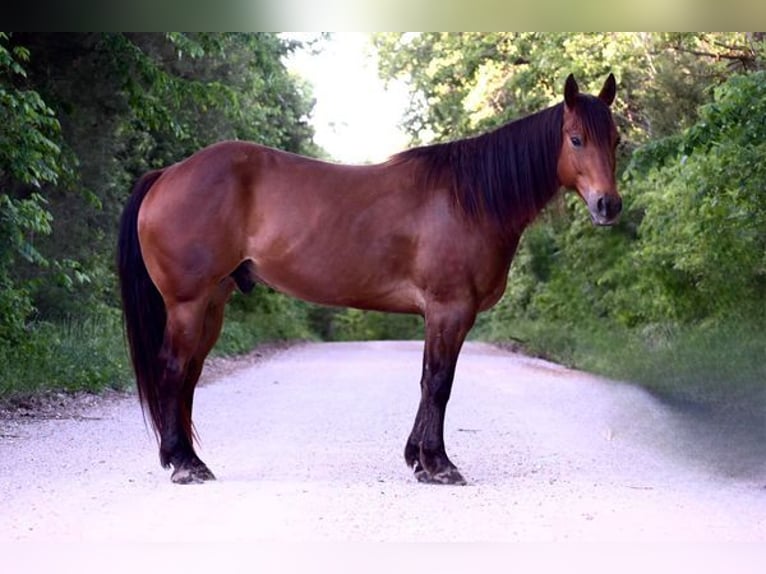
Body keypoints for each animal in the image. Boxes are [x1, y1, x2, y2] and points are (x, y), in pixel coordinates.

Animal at [118, 72, 624, 486]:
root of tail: (168, 174)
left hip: (213, 303)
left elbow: (427, 380)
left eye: (616, 139)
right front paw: (439, 465)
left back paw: (192, 460)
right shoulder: (450, 309)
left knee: (190, 374)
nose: (608, 206)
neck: (469, 200)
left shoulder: (438, 315)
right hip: (188, 303)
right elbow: (439, 383)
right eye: (576, 139)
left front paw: (418, 460)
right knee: (172, 369)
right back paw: (182, 464)